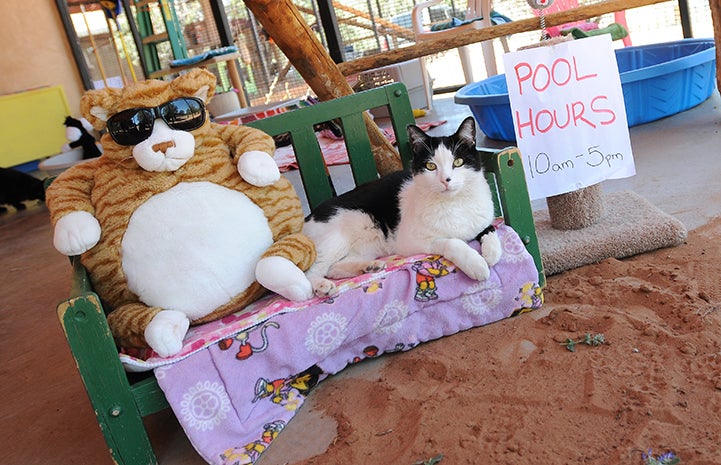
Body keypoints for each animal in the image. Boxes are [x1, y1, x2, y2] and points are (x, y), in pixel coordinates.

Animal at [304, 117, 500, 298]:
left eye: (458, 162)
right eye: (431, 166)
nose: (446, 180)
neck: (455, 203)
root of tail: (306, 219)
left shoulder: (481, 221)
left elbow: (489, 229)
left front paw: (492, 253)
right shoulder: (411, 242)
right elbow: (452, 242)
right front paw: (476, 263)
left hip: (368, 246)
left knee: (334, 268)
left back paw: (369, 267)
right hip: (342, 233)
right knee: (312, 270)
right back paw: (321, 285)